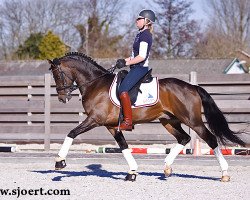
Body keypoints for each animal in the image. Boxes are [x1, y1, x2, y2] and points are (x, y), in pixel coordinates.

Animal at [47, 52, 245, 182]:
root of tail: (192, 87)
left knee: (210, 139)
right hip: (168, 121)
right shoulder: (111, 126)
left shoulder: (95, 119)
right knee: (184, 138)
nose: (62, 98)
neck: (96, 84)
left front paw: (59, 162)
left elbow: (72, 133)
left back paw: (224, 173)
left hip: (193, 121)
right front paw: (132, 172)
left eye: (57, 74)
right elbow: (124, 146)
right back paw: (166, 168)